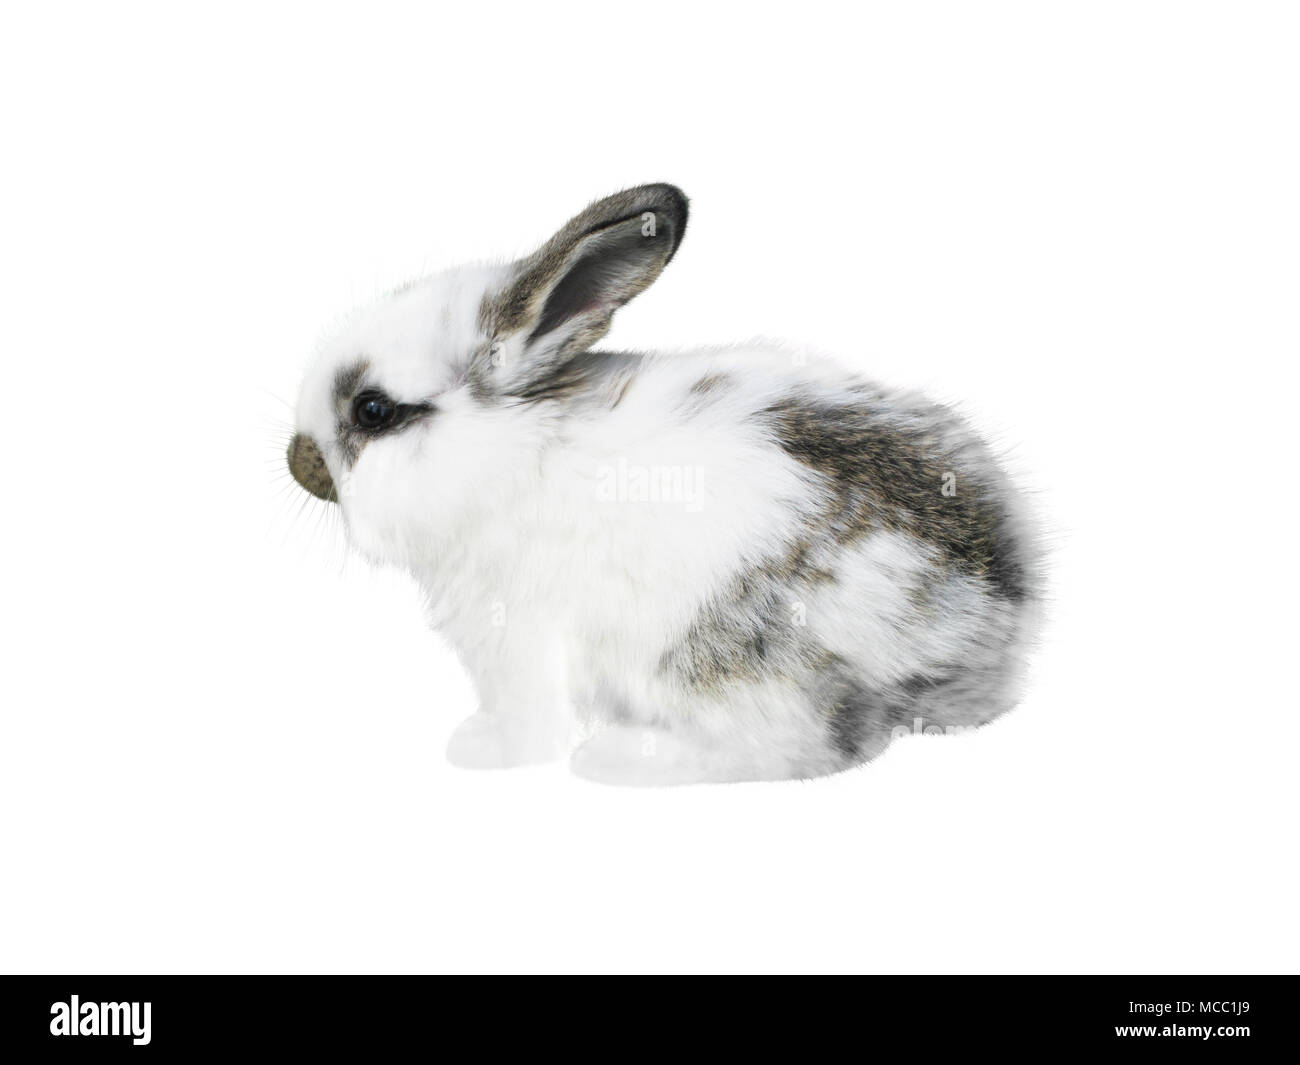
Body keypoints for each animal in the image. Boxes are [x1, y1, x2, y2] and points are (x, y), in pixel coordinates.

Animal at [286, 183, 1042, 785]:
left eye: (373, 411)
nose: (299, 463)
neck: (514, 450)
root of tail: (990, 618)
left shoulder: (519, 639)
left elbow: (528, 718)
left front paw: (484, 751)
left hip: (724, 661)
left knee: (802, 745)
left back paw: (621, 759)